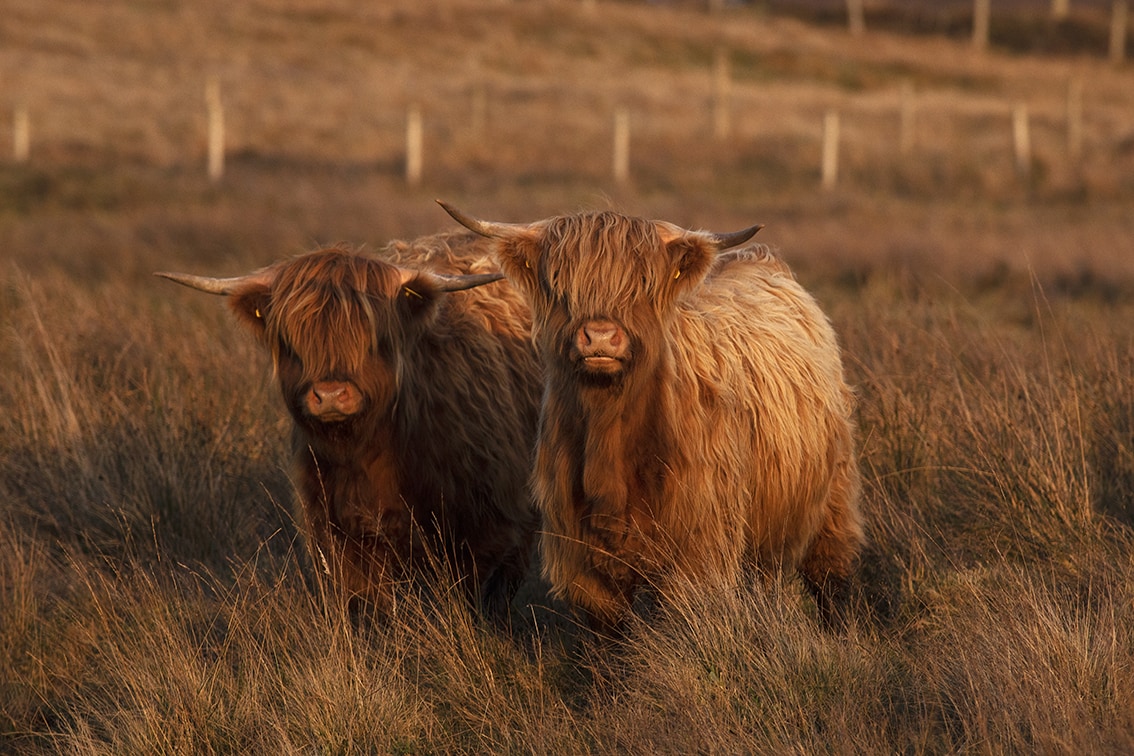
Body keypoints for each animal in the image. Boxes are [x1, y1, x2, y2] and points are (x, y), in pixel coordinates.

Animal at [157, 234, 542, 616]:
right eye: (292, 343)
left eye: (373, 338)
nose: (330, 395)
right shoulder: (340, 533)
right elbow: (368, 603)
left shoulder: (487, 524)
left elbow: (467, 594)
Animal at [437, 202, 861, 634]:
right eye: (560, 284)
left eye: (642, 284)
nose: (600, 337)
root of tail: (762, 259)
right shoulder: (587, 563)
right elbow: (605, 637)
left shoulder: (694, 553)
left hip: (832, 500)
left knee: (829, 576)